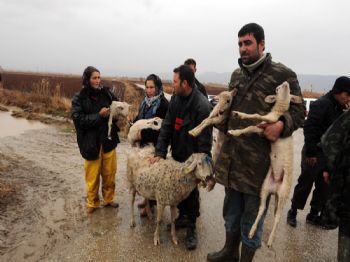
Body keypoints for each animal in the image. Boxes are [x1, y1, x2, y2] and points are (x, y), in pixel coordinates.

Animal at [228, 81, 302, 248]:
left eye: (287, 88)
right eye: (278, 88)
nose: (286, 83)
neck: (277, 112)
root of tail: (275, 189)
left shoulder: (270, 121)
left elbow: (256, 115)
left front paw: (238, 114)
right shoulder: (261, 128)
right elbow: (249, 127)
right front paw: (234, 132)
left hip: (284, 194)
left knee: (278, 217)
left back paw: (270, 240)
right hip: (264, 188)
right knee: (262, 209)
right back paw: (251, 231)